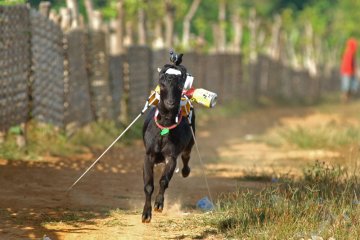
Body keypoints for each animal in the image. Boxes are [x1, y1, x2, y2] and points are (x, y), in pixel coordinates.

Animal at [142, 58, 195, 223]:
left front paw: (159, 204)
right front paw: (146, 214)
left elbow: (164, 180)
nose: (171, 103)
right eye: (162, 83)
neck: (164, 127)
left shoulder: (171, 156)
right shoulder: (149, 155)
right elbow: (148, 185)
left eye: (179, 85)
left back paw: (185, 171)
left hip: (189, 143)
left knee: (186, 156)